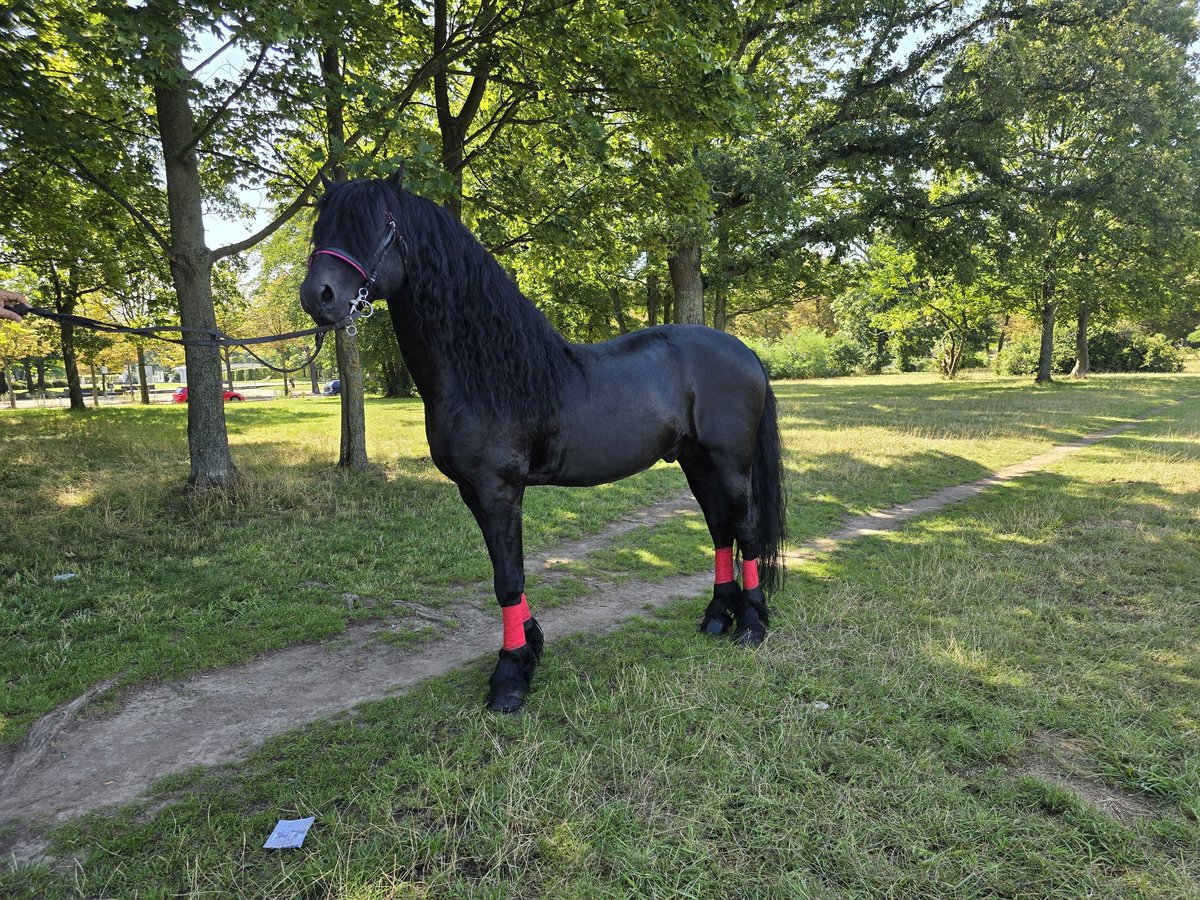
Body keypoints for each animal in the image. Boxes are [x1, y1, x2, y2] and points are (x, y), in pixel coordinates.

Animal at [300, 172, 787, 715]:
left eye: (376, 227)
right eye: (322, 228)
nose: (317, 296)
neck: (488, 372)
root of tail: (744, 351)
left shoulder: (499, 489)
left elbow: (508, 578)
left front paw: (510, 677)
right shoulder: (474, 492)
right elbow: (505, 572)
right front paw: (530, 647)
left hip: (731, 462)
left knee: (745, 529)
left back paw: (751, 625)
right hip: (695, 461)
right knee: (719, 528)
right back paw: (717, 617)